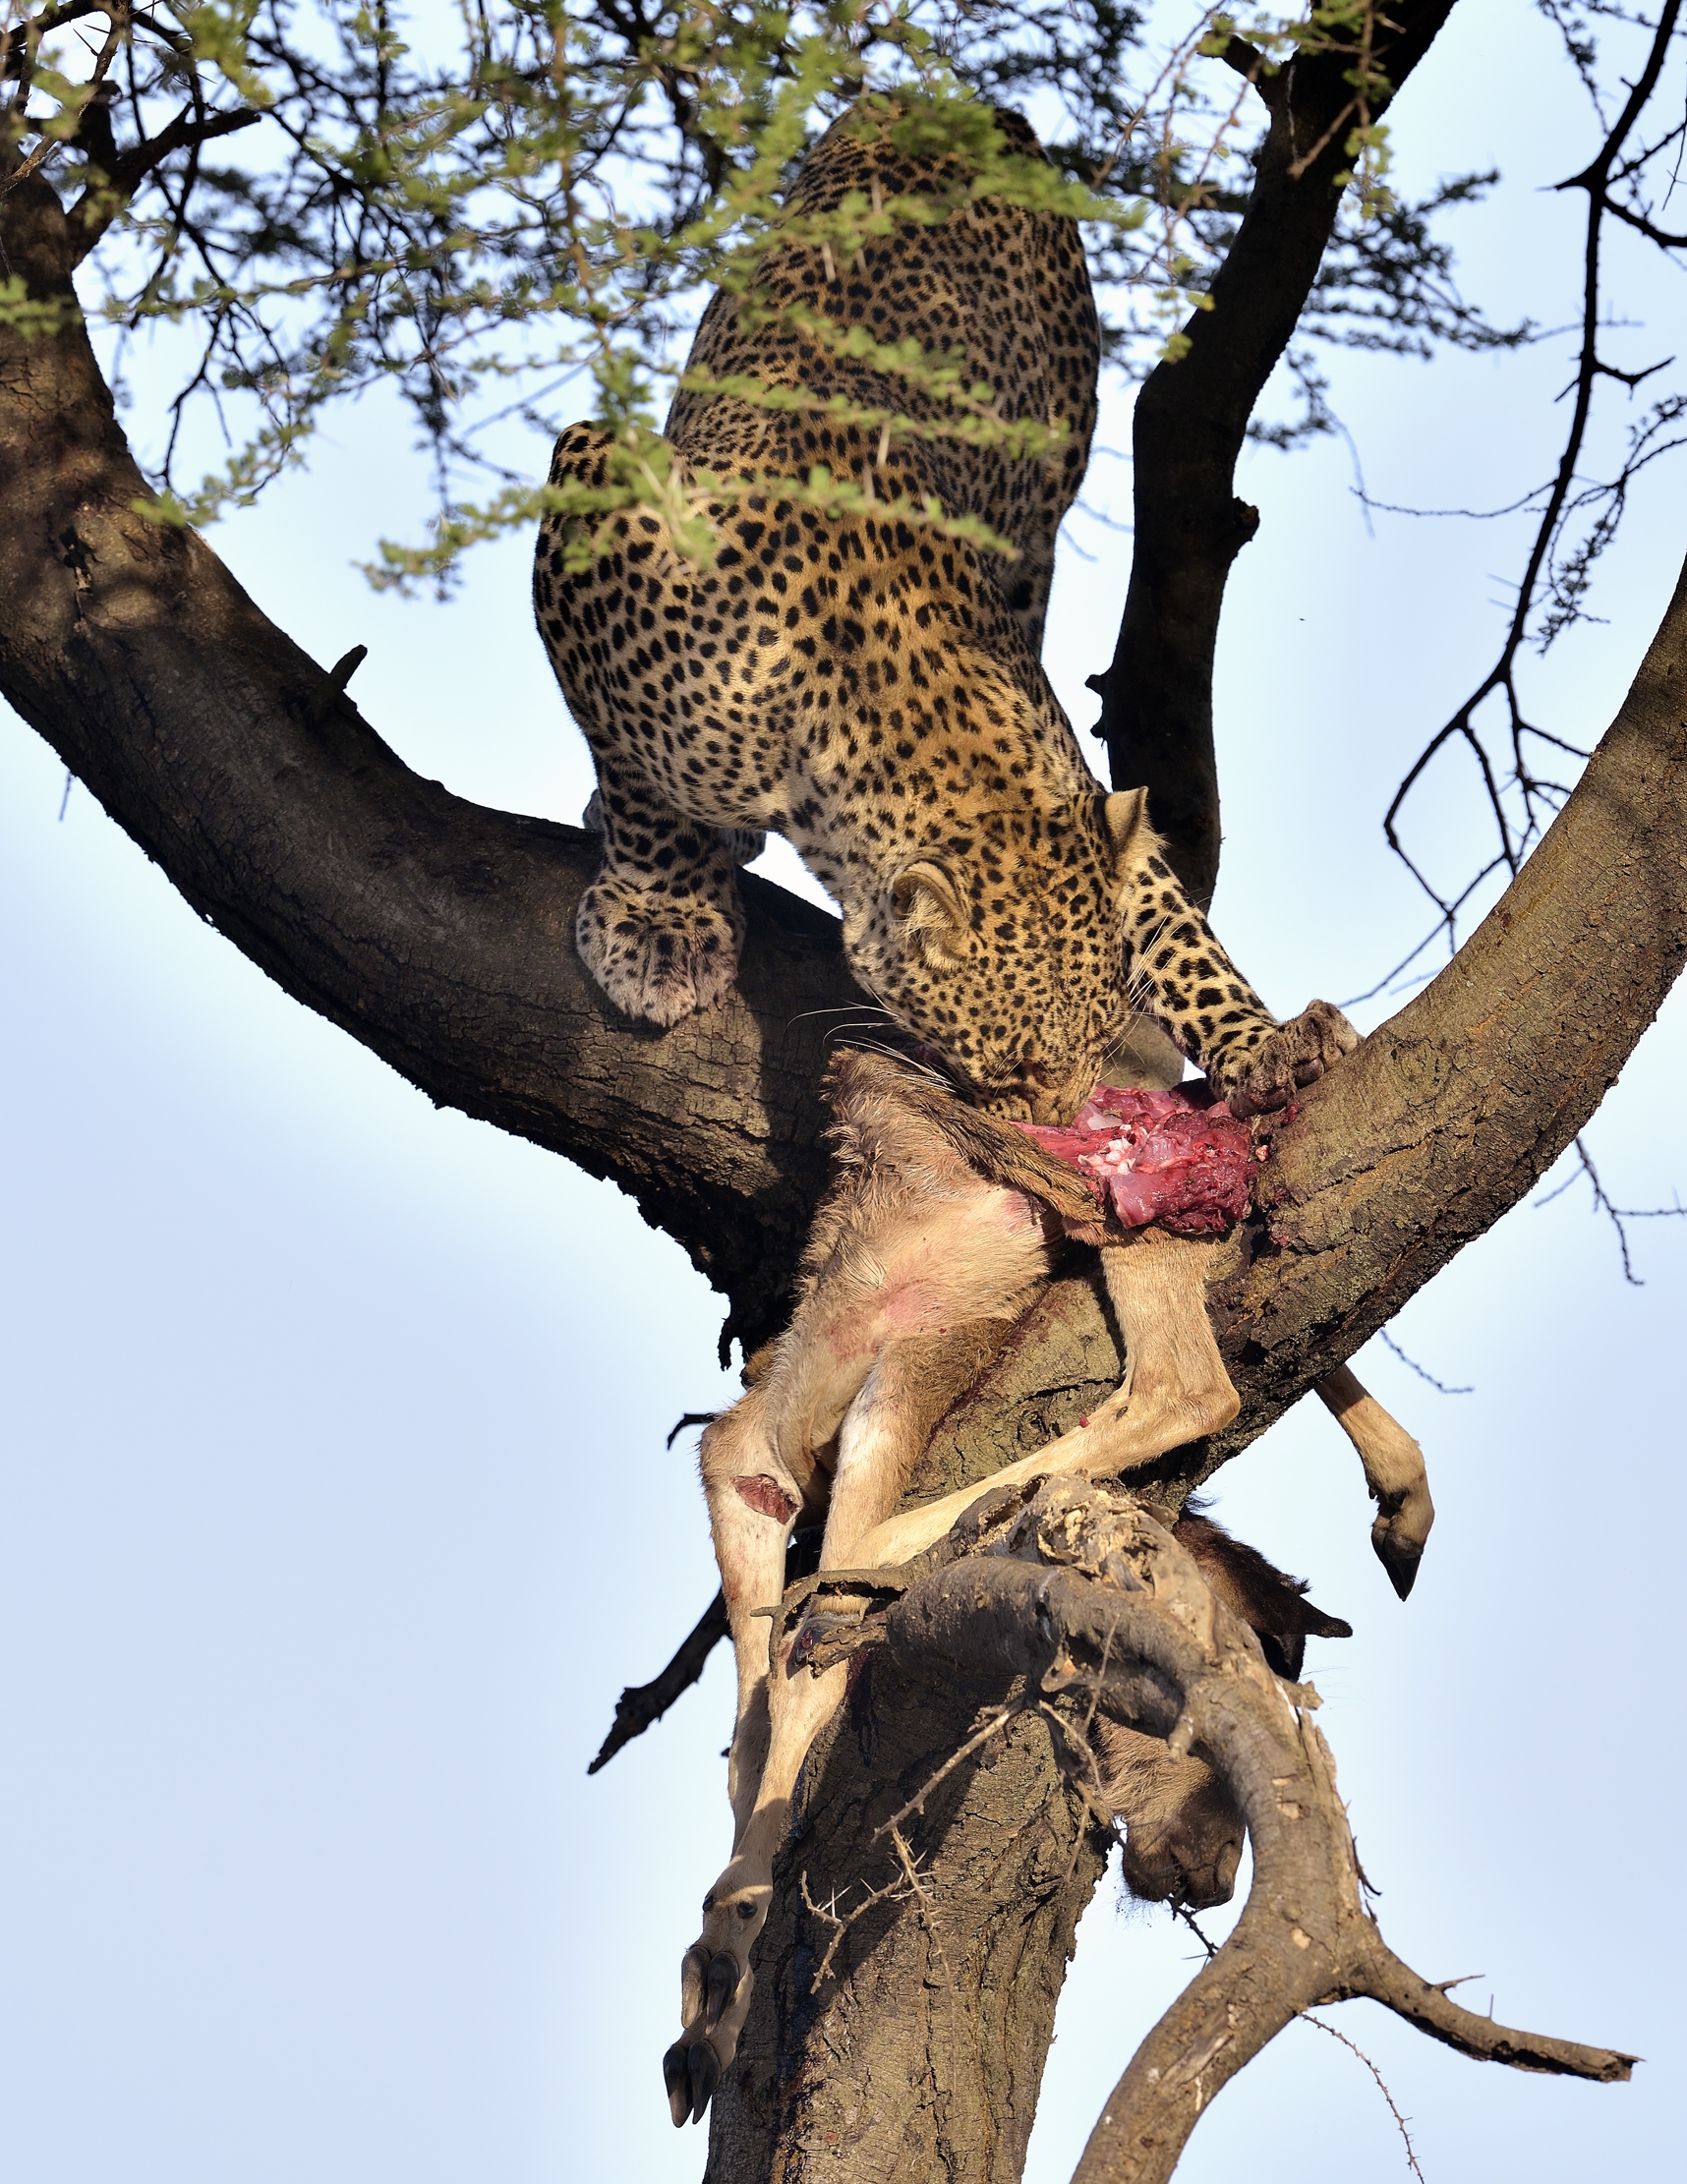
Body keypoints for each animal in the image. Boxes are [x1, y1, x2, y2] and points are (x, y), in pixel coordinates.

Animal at [533, 100, 1356, 1123]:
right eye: (1012, 1067)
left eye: (1099, 1041)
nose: (1058, 1123)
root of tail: (953, 102)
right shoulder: (596, 491)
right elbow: (639, 770)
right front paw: (660, 921)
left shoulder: (1071, 791)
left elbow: (1166, 913)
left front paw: (1258, 1042)